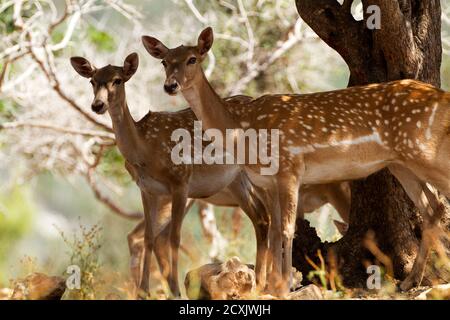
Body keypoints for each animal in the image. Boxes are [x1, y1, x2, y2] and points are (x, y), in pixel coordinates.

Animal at [143, 26, 450, 296]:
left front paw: (284, 286)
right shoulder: (266, 182)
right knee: (432, 208)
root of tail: (442, 97)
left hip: (426, 153)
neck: (244, 135)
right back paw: (410, 281)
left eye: (192, 58)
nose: (170, 85)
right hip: (401, 163)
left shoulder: (289, 167)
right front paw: (272, 285)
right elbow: (276, 230)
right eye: (164, 62)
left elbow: (288, 229)